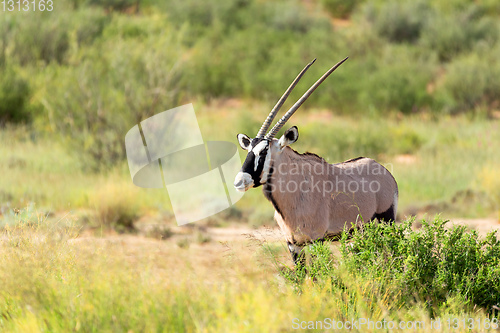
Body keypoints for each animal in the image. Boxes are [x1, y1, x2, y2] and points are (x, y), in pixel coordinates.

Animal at [233, 57, 398, 264]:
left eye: (264, 152)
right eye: (248, 150)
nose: (239, 181)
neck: (294, 189)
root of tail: (386, 173)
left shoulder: (315, 240)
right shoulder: (293, 244)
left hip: (385, 223)